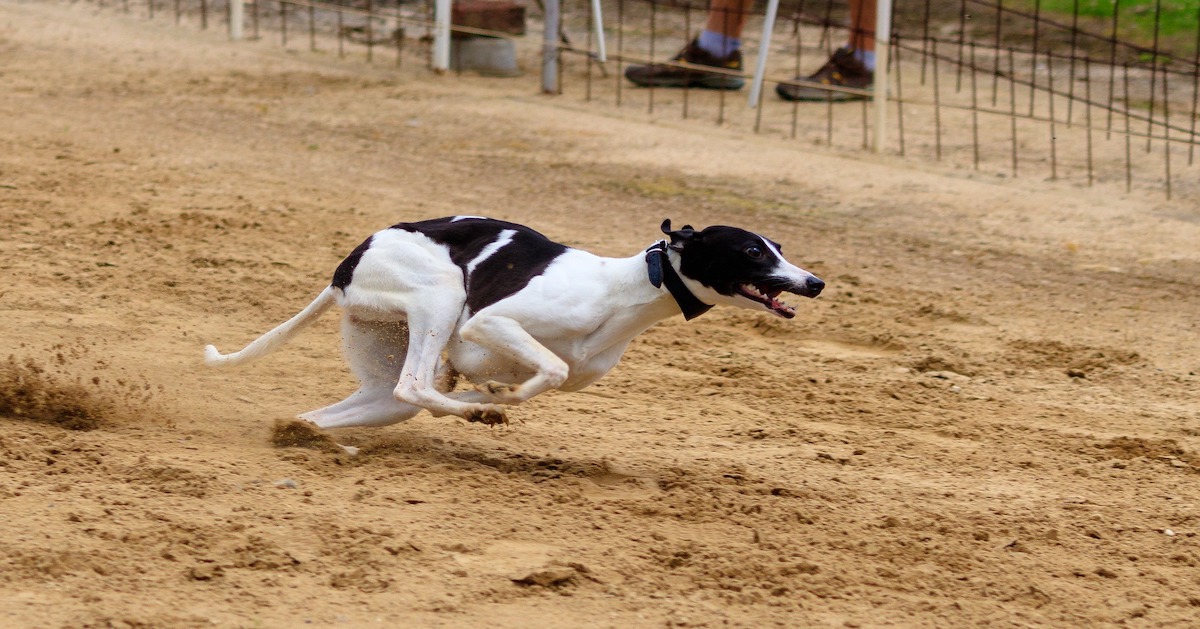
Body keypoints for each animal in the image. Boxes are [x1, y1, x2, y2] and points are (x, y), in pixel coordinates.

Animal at [206, 216, 825, 427]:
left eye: (779, 246)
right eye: (751, 251)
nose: (815, 282)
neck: (624, 292)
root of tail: (346, 265)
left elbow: (548, 373)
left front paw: (495, 393)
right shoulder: (489, 325)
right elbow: (548, 368)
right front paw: (499, 396)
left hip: (382, 373)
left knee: (360, 404)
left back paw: (305, 431)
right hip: (439, 296)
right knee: (415, 387)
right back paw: (477, 411)